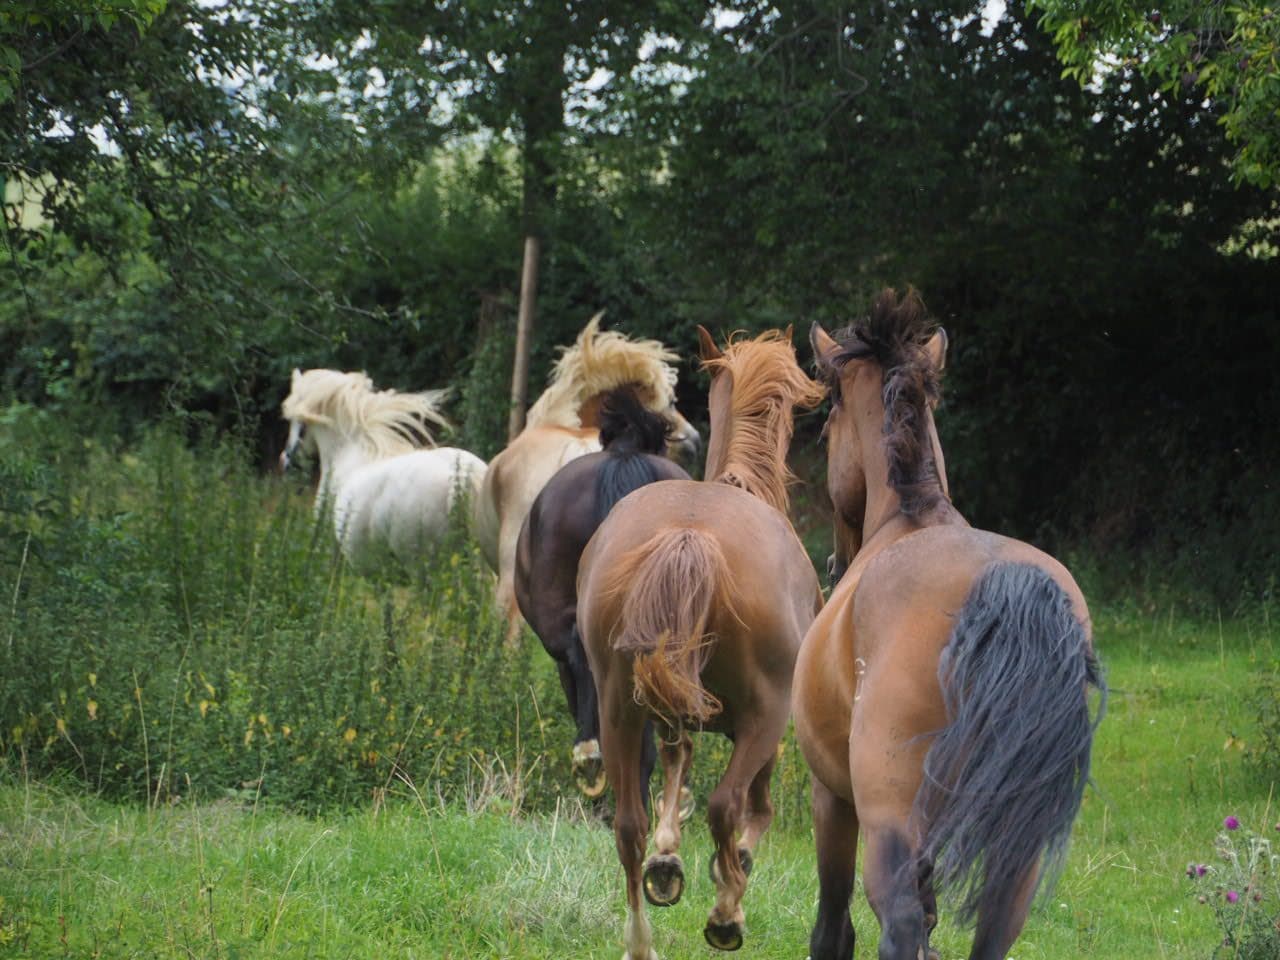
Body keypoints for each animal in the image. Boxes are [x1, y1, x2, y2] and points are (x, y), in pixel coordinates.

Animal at [576, 327, 825, 960]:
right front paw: (727, 874)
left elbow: (675, 763)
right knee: (733, 805)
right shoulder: (764, 729)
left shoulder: (669, 703)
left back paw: (640, 941)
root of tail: (689, 536)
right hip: (765, 717)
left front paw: (668, 861)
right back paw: (726, 916)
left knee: (628, 824)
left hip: (617, 708)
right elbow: (749, 813)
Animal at [793, 289, 1106, 960]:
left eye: (827, 426)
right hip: (1014, 843)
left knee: (899, 921)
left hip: (887, 819)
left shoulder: (831, 796)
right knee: (993, 927)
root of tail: (999, 589)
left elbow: (833, 926)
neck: (912, 515)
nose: (834, 560)